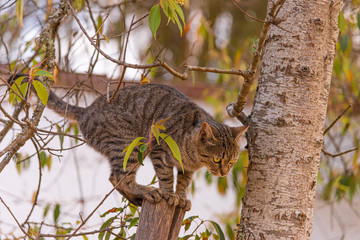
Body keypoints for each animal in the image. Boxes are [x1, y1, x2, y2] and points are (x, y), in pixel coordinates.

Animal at [9, 74, 248, 210]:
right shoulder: (159, 151)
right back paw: (147, 191)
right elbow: (166, 178)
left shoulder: (186, 168)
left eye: (232, 161)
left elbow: (183, 183)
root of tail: (87, 110)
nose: (225, 172)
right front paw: (170, 195)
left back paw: (138, 198)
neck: (194, 158)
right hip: (128, 143)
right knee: (119, 177)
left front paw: (181, 197)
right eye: (217, 159)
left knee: (114, 177)